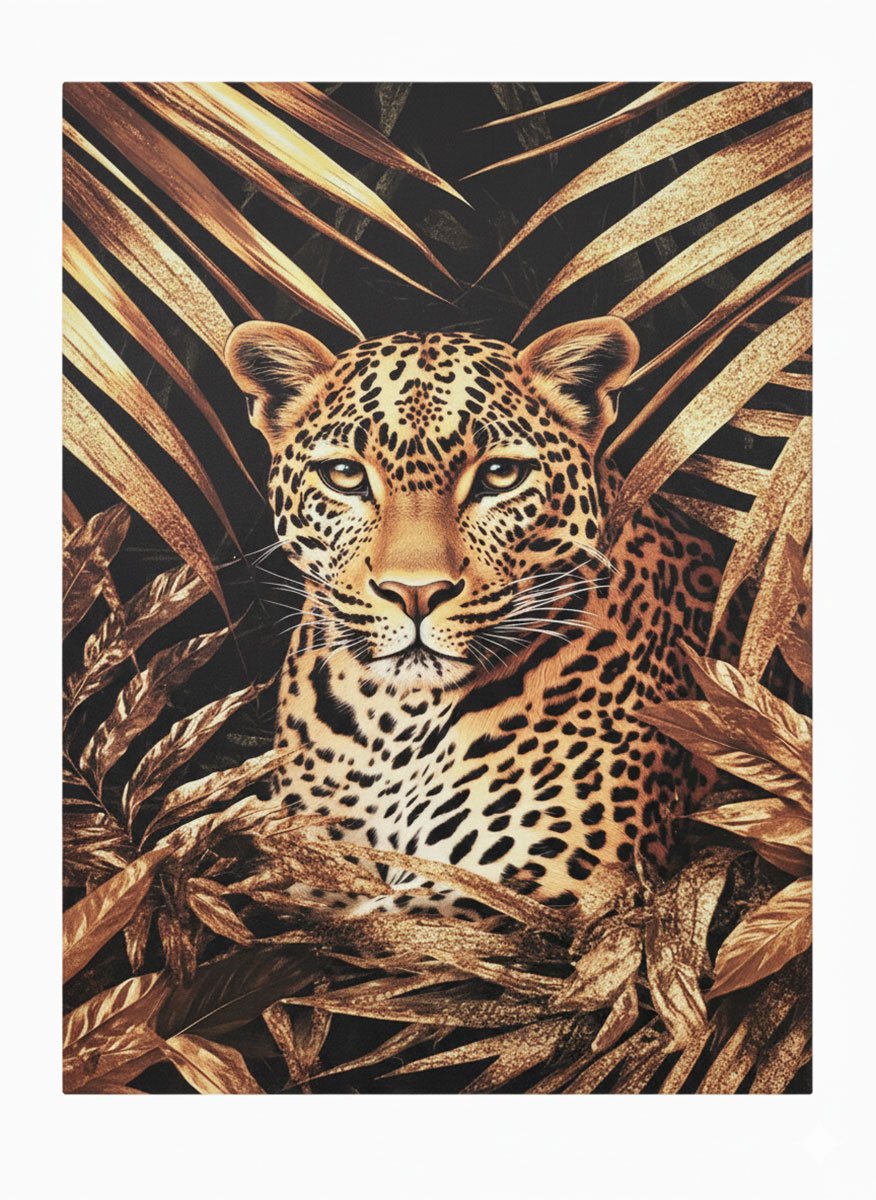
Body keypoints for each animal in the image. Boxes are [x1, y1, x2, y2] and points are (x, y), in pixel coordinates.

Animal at [225, 318, 723, 917]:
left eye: (501, 475)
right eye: (344, 474)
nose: (415, 593)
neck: (396, 720)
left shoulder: (553, 883)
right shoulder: (304, 859)